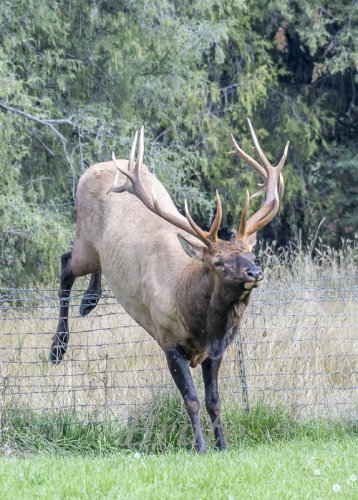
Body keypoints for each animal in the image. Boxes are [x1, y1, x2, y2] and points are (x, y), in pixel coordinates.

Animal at [50, 121, 288, 454]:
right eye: (218, 262)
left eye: (250, 254)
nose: (254, 272)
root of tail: (90, 169)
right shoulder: (168, 340)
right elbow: (192, 400)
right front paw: (201, 447)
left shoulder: (215, 352)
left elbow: (215, 402)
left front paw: (222, 445)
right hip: (84, 238)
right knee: (65, 266)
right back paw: (57, 347)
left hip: (96, 249)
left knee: (86, 266)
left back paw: (89, 300)